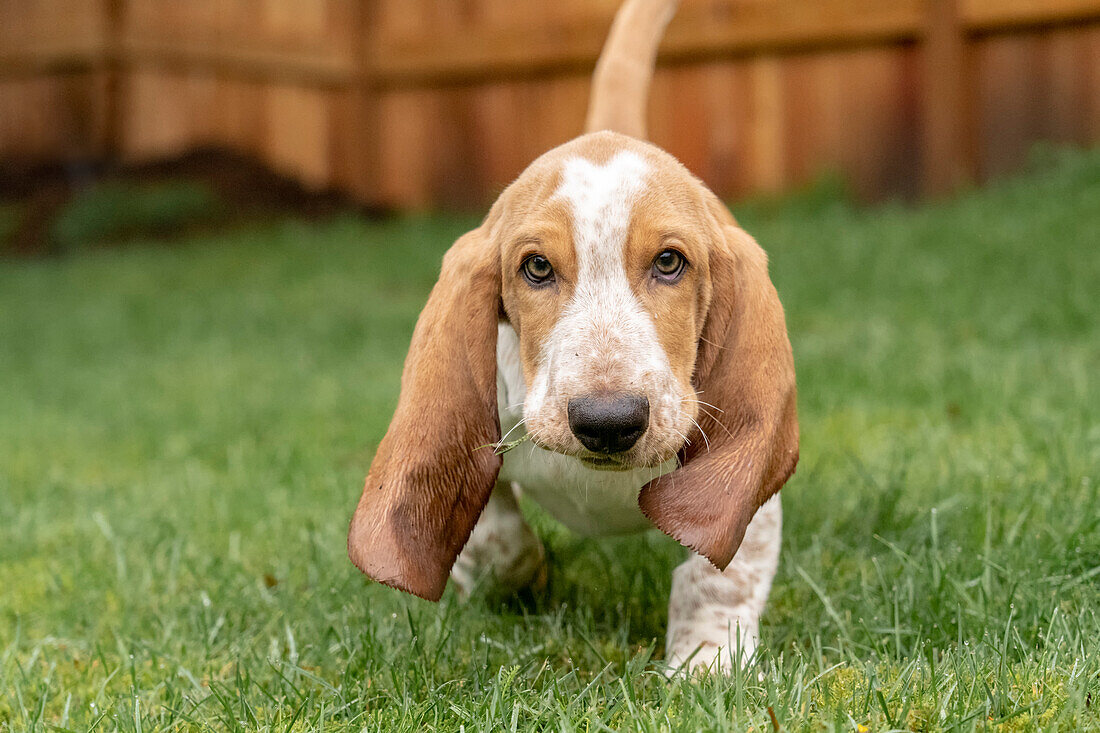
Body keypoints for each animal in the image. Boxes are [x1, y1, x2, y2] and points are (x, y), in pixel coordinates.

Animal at [347, 0, 796, 669]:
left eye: (670, 262)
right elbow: (495, 535)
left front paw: (705, 663)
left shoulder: (749, 503)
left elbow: (718, 574)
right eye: (536, 267)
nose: (607, 422)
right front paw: (523, 576)